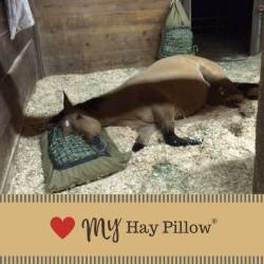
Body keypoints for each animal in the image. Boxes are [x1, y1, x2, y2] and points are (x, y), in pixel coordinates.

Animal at [49, 54, 248, 152]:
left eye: (80, 117)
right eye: (66, 131)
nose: (97, 146)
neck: (129, 102)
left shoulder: (165, 111)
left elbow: (171, 139)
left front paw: (196, 141)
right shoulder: (145, 127)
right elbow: (138, 146)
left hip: (215, 77)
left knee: (238, 93)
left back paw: (244, 108)